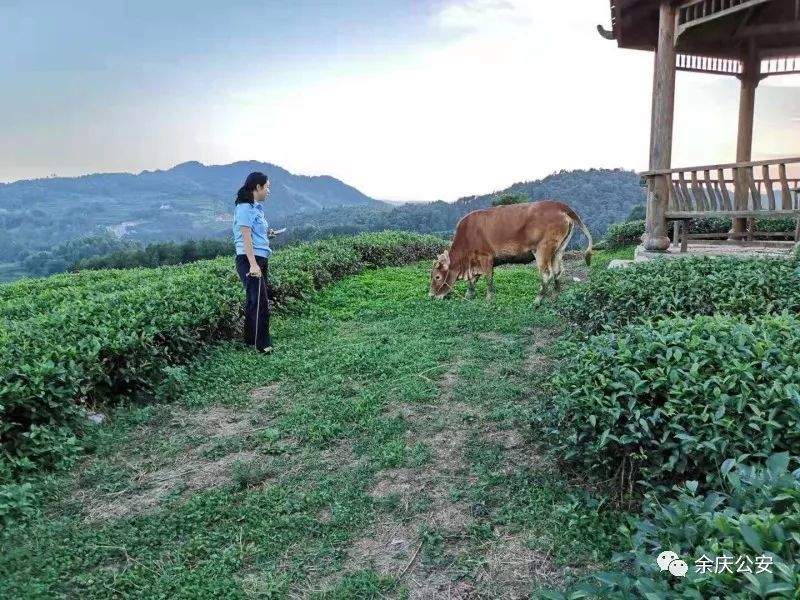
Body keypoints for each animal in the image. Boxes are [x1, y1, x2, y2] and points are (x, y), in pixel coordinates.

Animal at [432, 202, 592, 304]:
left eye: (437, 277)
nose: (431, 295)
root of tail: (560, 205)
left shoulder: (486, 257)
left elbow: (488, 278)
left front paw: (488, 298)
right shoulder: (475, 262)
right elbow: (473, 280)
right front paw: (470, 294)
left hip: (543, 249)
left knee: (547, 274)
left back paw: (538, 300)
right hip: (558, 250)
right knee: (558, 271)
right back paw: (556, 295)